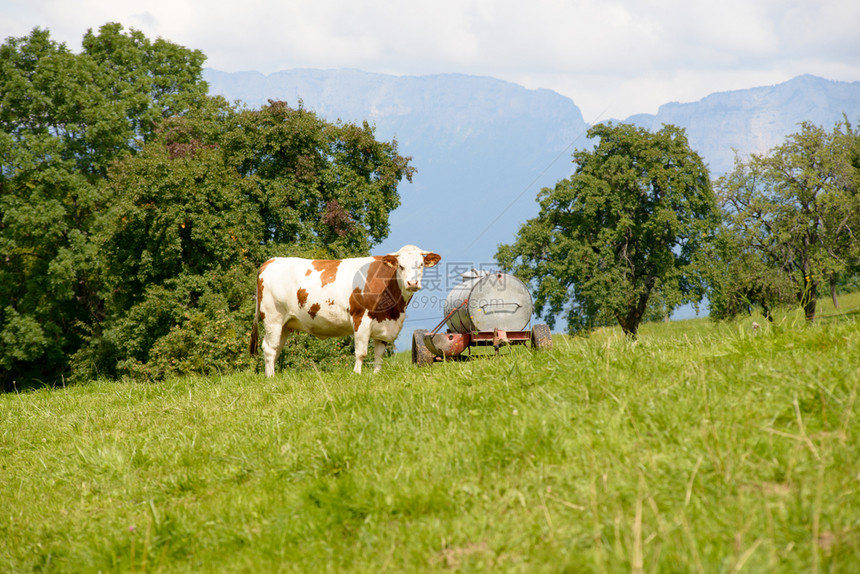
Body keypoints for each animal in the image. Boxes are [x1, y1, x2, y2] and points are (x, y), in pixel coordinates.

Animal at [245, 246, 440, 378]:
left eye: (421, 265)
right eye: (400, 266)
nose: (412, 283)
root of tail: (271, 261)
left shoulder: (384, 325)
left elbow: (379, 355)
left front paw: (376, 375)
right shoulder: (361, 319)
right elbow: (361, 353)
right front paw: (357, 375)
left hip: (285, 324)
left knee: (276, 348)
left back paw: (271, 375)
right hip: (273, 317)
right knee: (269, 348)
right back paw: (271, 378)